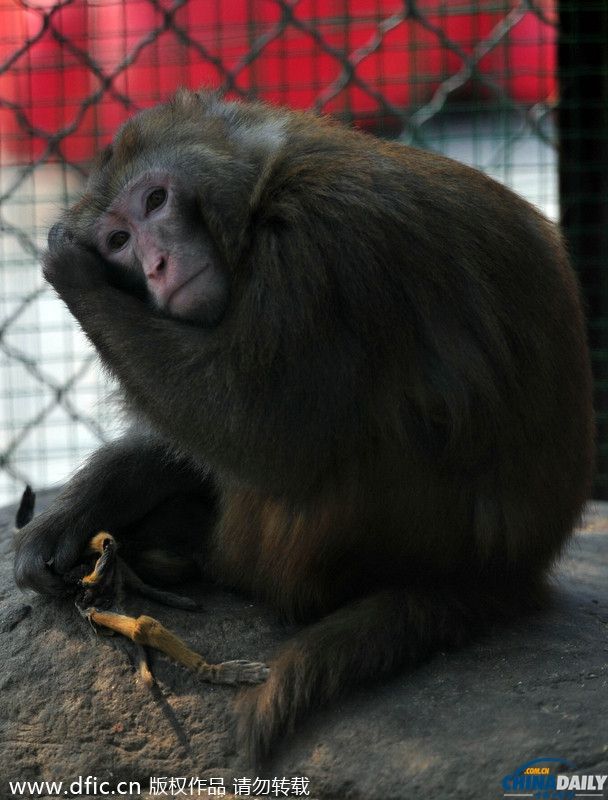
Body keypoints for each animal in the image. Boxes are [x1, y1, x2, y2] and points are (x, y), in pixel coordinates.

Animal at [13, 87, 592, 764]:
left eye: (155, 201)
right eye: (119, 239)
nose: (155, 263)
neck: (261, 193)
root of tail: (508, 572)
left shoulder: (323, 241)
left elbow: (262, 435)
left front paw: (65, 265)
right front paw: (78, 511)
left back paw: (213, 559)